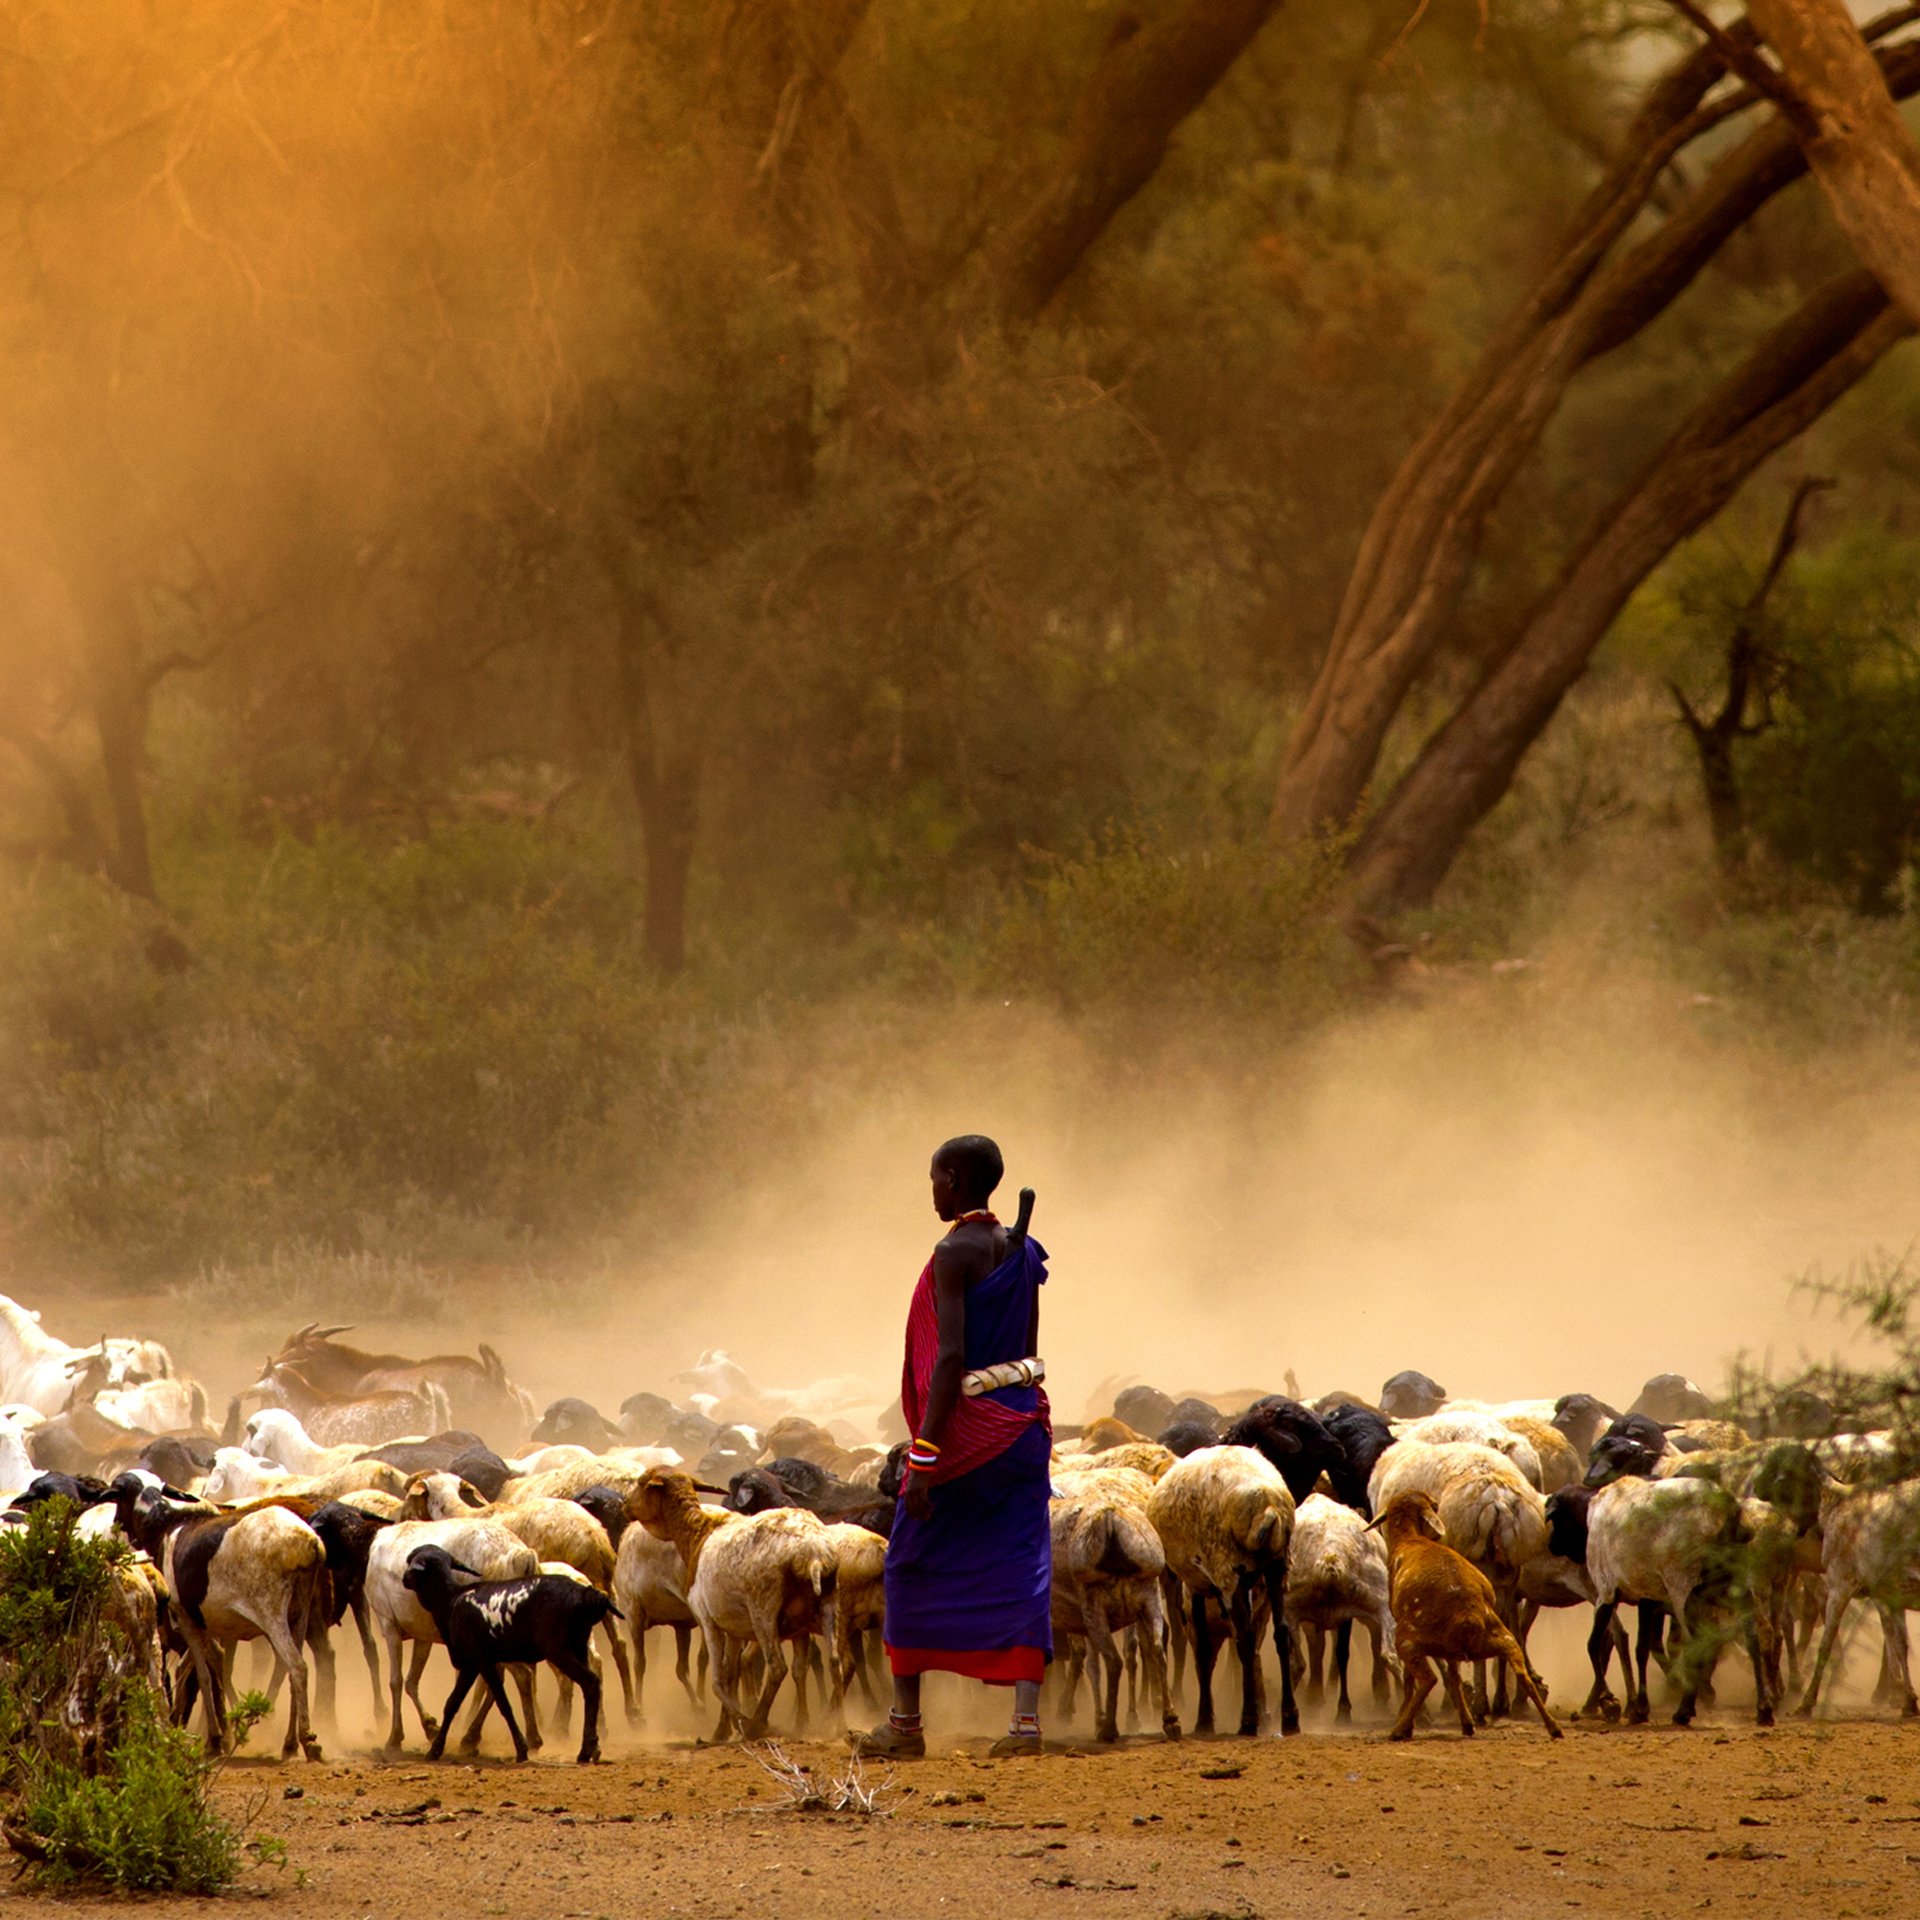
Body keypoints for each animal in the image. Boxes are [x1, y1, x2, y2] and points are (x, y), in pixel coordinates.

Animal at [1367, 1489, 1559, 1751]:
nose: (1436, 1503)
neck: (1410, 1539)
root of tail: (1469, 1616)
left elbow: (1410, 1679)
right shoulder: (1451, 1651)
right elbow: (1455, 1675)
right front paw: (1466, 1722)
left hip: (1409, 1639)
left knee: (1428, 1679)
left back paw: (1400, 1729)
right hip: (1501, 1638)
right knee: (1522, 1675)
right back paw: (1552, 1726)